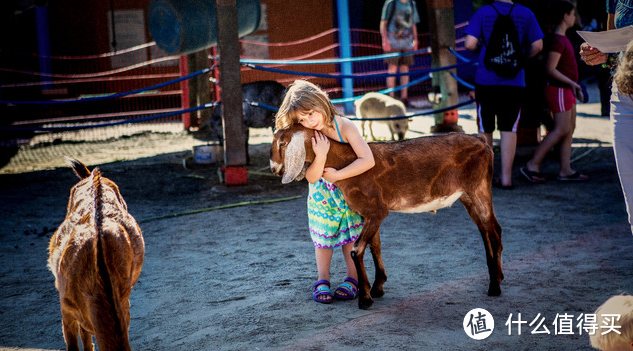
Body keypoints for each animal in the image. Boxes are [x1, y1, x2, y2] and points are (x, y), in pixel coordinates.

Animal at [270, 124, 502, 310]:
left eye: (282, 142)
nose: (273, 169)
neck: (348, 162)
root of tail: (481, 140)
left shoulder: (377, 211)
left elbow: (357, 250)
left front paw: (365, 298)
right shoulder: (369, 214)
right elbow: (375, 246)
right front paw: (378, 287)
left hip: (478, 188)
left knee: (492, 231)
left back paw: (495, 286)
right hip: (467, 196)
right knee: (488, 229)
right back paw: (497, 276)